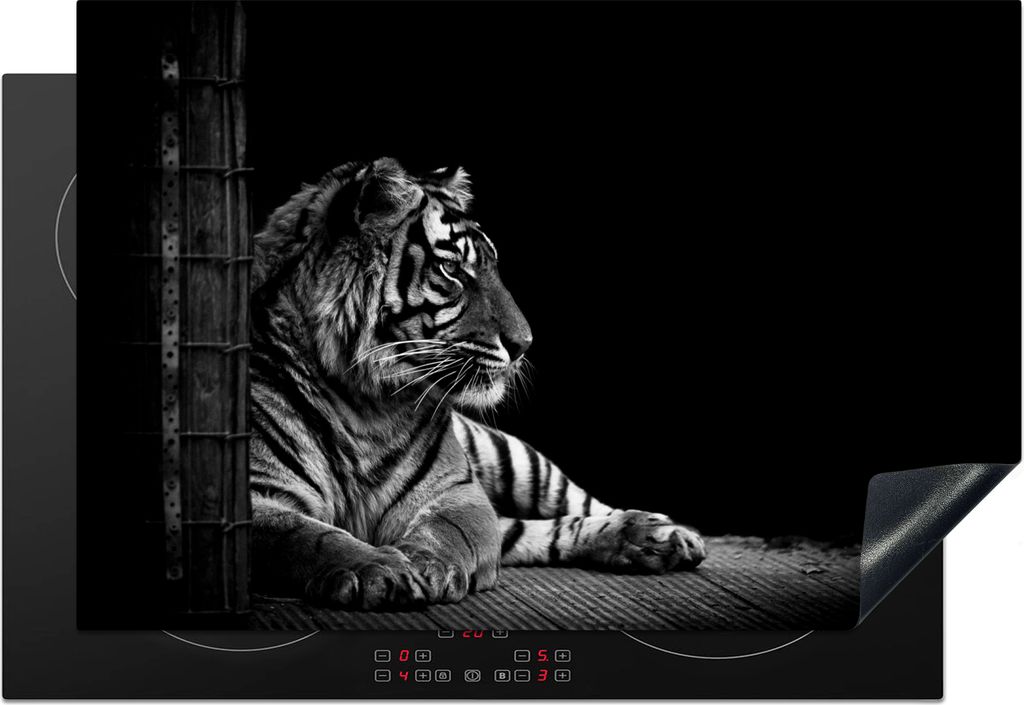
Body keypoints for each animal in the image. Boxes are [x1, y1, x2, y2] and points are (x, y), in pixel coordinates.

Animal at [249, 158, 706, 610]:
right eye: (452, 269)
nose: (524, 345)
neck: (363, 403)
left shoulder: (457, 491)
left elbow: (449, 532)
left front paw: (427, 565)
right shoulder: (257, 497)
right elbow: (308, 538)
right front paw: (378, 569)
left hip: (516, 458)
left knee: (580, 503)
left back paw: (662, 533)